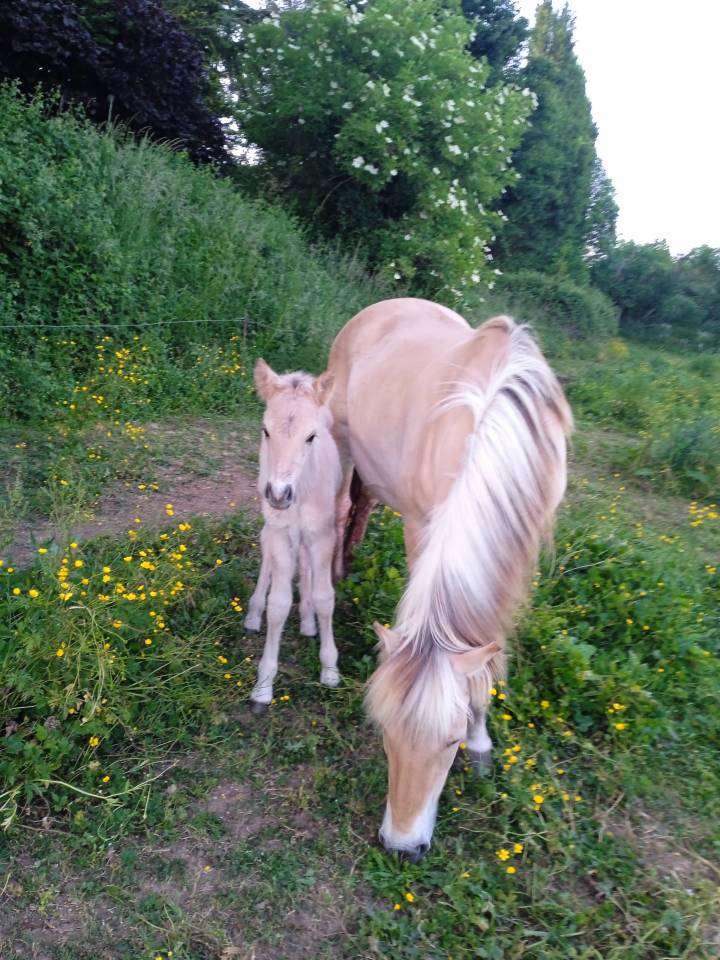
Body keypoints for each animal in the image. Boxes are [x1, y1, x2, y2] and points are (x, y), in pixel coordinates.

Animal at [244, 359, 342, 711]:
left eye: (311, 437)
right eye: (265, 430)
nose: (278, 493)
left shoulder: (324, 534)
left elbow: (326, 597)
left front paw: (330, 669)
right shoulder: (280, 531)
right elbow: (279, 604)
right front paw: (263, 686)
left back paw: (309, 621)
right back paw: (253, 612)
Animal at [326, 298, 572, 860]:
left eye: (449, 740)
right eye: (385, 734)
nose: (401, 846)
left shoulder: (519, 553)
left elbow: (487, 647)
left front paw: (482, 743)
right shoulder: (423, 529)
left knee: (363, 504)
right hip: (341, 438)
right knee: (342, 506)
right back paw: (334, 574)